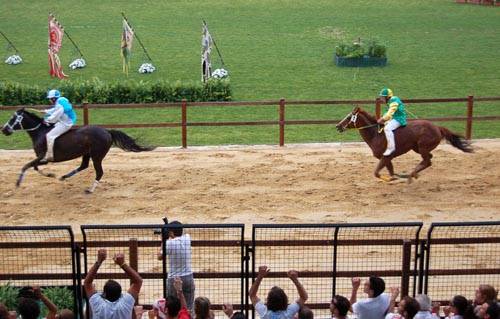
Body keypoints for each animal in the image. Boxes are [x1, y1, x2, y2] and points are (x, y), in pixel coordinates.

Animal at [1, 109, 154, 194]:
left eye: (13, 118)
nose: (4, 129)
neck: (40, 132)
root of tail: (107, 131)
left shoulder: (43, 157)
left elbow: (26, 166)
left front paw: (18, 183)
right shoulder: (42, 159)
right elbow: (34, 167)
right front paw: (51, 174)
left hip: (97, 156)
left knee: (99, 172)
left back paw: (90, 189)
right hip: (87, 153)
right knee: (84, 166)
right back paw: (64, 176)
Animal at [336, 107, 472, 182]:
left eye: (348, 117)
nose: (338, 126)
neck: (375, 134)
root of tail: (438, 127)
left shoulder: (386, 156)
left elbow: (377, 173)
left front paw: (392, 178)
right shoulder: (386, 158)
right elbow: (390, 171)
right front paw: (394, 177)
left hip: (423, 147)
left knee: (428, 161)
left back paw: (412, 175)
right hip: (417, 148)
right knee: (429, 159)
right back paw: (413, 173)